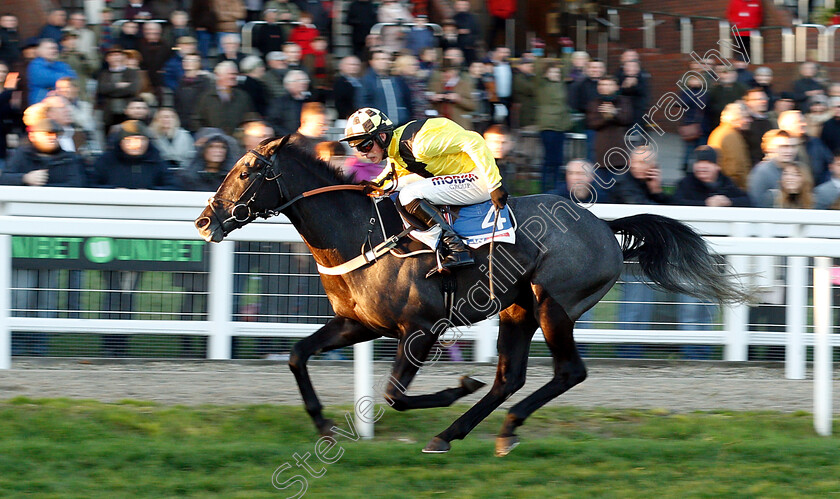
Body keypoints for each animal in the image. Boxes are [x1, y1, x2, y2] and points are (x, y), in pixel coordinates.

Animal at [194, 137, 744, 458]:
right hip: (519, 308)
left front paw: (456, 385)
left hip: (554, 306)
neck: (360, 232)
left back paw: (495, 425)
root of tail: (605, 228)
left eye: (245, 172)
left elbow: (395, 396)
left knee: (568, 372)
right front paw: (324, 425)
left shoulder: (420, 329)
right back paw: (458, 432)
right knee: (509, 378)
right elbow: (296, 354)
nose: (204, 221)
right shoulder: (359, 324)